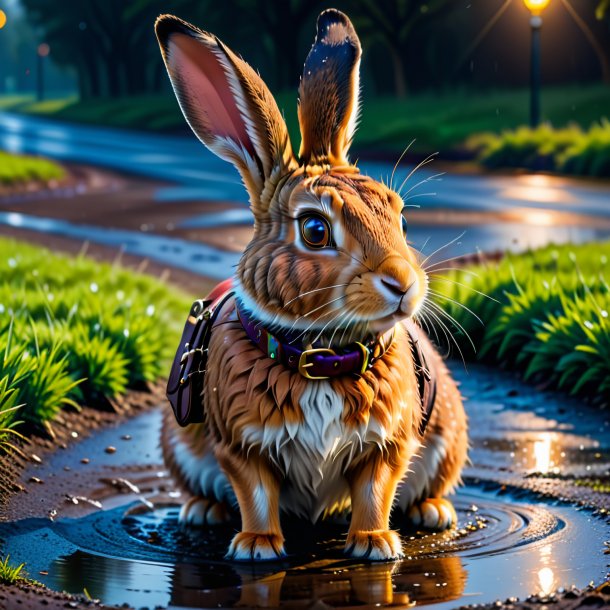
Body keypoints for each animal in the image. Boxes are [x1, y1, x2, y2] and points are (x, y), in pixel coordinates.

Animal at [156, 8, 466, 560]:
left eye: (401, 218)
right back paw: (202, 512)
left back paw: (433, 512)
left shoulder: (389, 442)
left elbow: (375, 489)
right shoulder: (240, 443)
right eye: (315, 231)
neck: (320, 356)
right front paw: (257, 546)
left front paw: (374, 544)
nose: (403, 283)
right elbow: (255, 491)